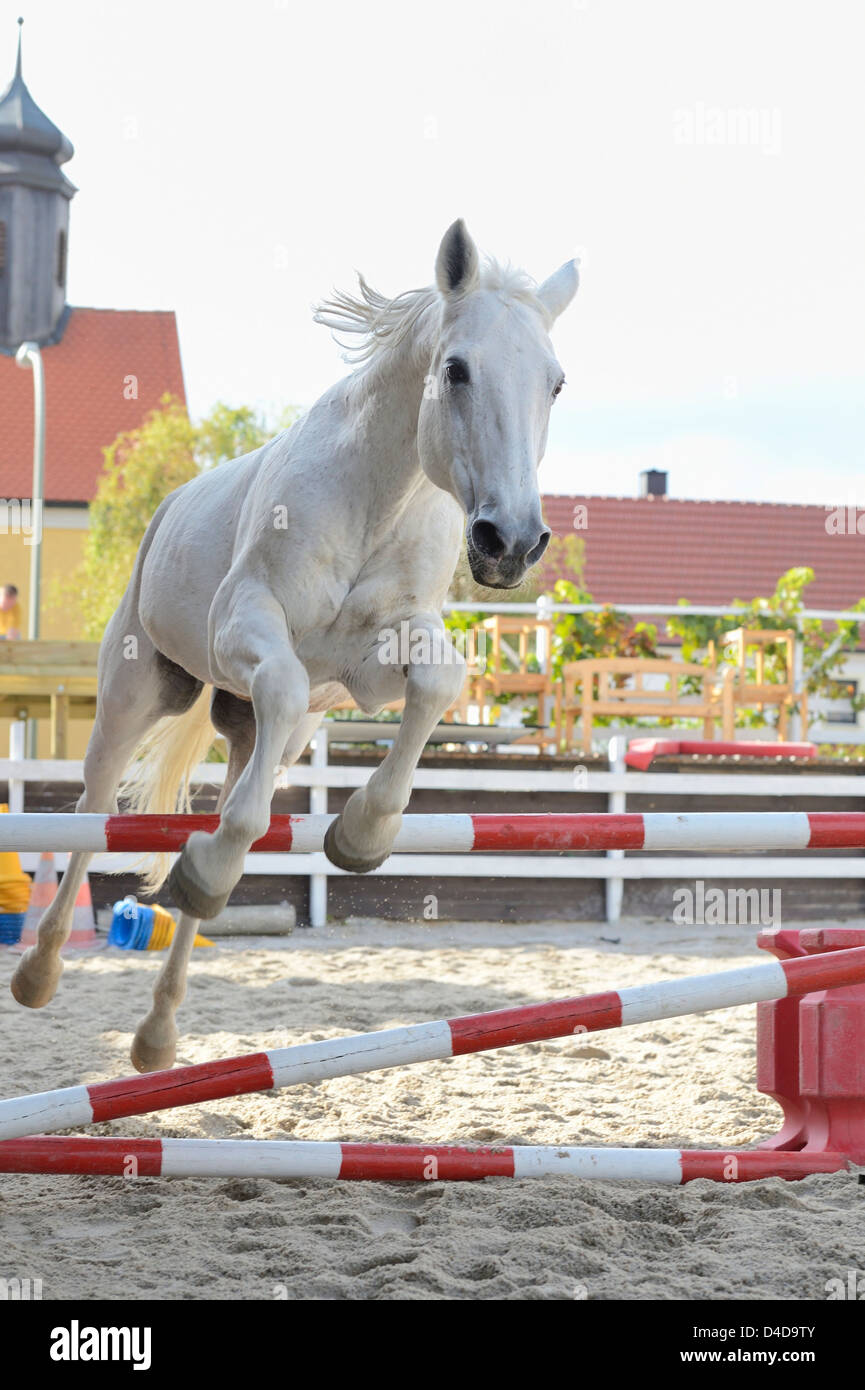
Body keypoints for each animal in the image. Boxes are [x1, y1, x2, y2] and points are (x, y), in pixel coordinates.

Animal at [10, 222, 578, 1073]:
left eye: (554, 383)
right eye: (456, 370)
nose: (509, 542)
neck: (379, 496)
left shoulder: (373, 663)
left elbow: (437, 685)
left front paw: (362, 832)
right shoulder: (245, 625)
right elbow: (279, 678)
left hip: (270, 739)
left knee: (234, 809)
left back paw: (158, 1029)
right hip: (136, 695)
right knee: (94, 808)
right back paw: (41, 971)